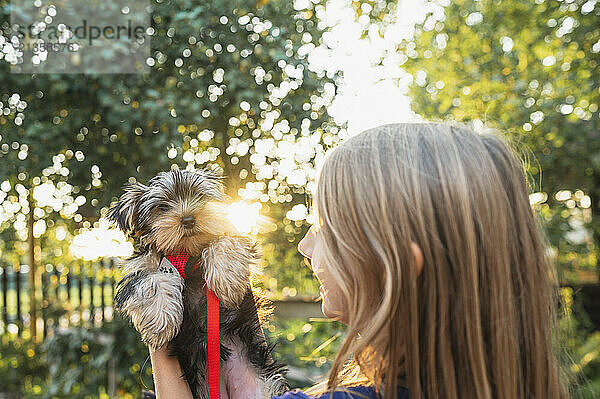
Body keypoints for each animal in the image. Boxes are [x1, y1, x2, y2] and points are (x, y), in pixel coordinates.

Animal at [106, 170, 288, 399]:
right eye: (162, 207)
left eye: (200, 196)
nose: (188, 219)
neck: (187, 254)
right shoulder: (140, 267)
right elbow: (151, 279)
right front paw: (159, 323)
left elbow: (225, 239)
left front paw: (227, 280)